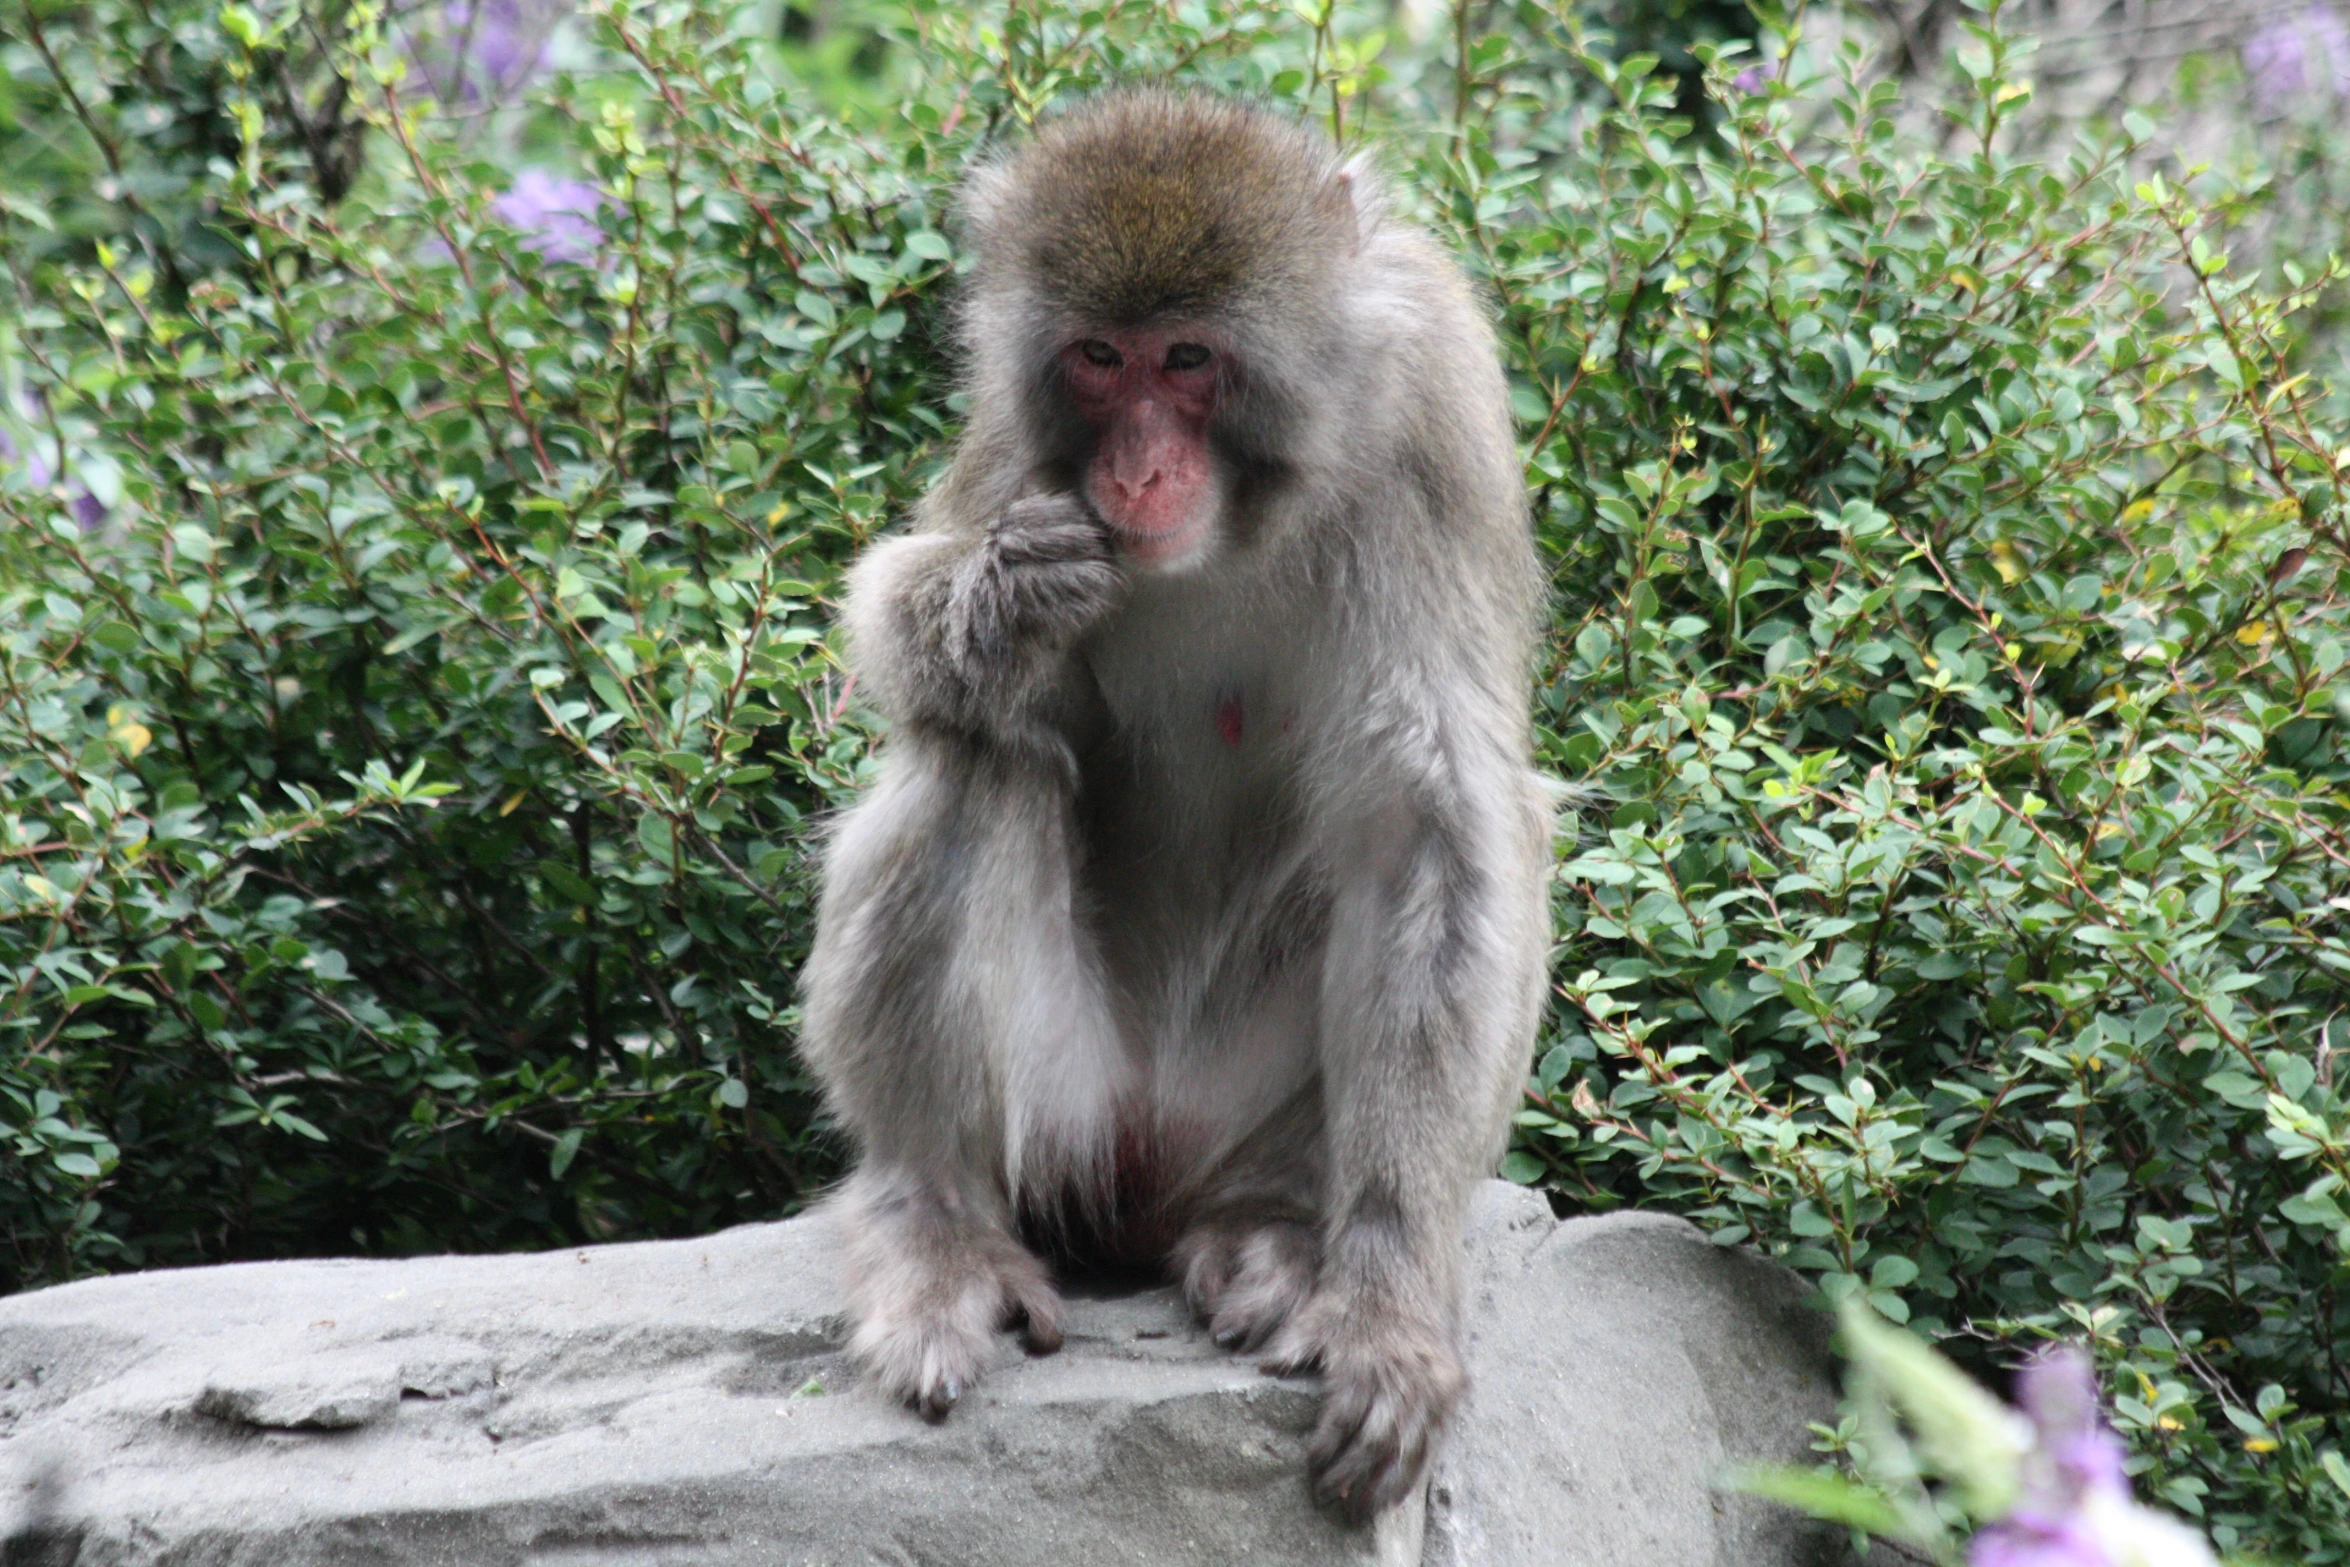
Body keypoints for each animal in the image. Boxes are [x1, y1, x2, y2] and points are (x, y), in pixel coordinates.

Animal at [798, 85, 1550, 1522]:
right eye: (1101, 358)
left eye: (1190, 359)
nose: (1140, 472)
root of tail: (1149, 1175)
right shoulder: (1019, 444)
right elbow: (902, 635)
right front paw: (995, 604)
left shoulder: (1432, 397)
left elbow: (1428, 825)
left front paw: (1387, 1308)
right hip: (1068, 1117)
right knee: (972, 758)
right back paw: (934, 1226)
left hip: (1235, 1115)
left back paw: (1279, 1235)